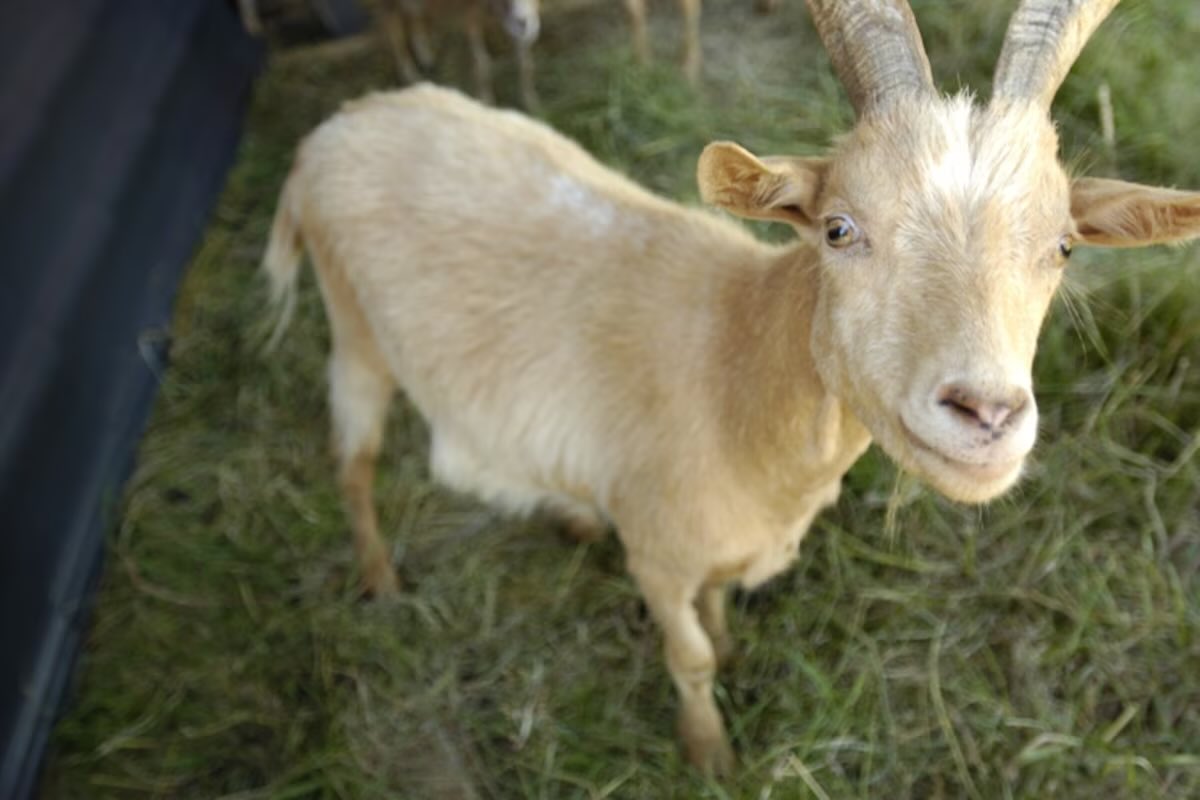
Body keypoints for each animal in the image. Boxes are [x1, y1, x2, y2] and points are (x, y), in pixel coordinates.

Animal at [379, 0, 541, 109]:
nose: (523, 22)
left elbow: (525, 64)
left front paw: (529, 100)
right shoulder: (471, 17)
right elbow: (482, 64)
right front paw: (486, 100)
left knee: (415, 16)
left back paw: (426, 57)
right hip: (389, 5)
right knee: (394, 35)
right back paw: (412, 76)